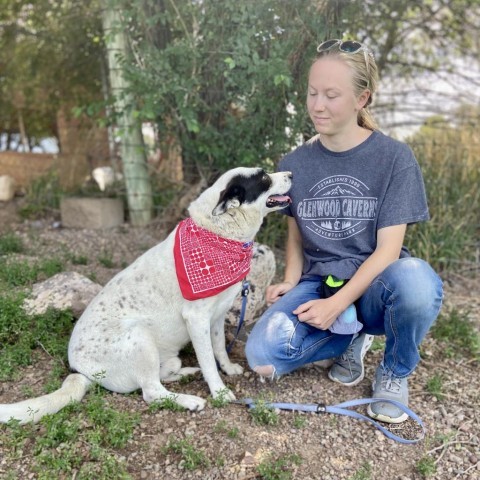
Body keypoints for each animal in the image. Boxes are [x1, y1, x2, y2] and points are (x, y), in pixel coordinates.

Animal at [0, 168, 290, 424]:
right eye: (264, 178)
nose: (291, 174)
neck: (218, 234)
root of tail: (79, 371)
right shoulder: (196, 319)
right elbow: (208, 359)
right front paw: (218, 391)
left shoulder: (217, 316)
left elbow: (218, 348)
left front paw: (228, 369)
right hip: (139, 338)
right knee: (151, 392)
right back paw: (189, 400)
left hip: (166, 355)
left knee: (161, 377)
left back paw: (185, 373)